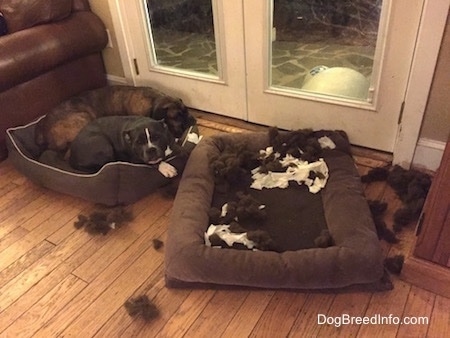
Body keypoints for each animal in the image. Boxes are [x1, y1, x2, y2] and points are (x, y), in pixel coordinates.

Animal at [35, 85, 195, 154]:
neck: (153, 101)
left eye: (186, 111)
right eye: (177, 116)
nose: (192, 119)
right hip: (83, 120)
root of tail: (43, 131)